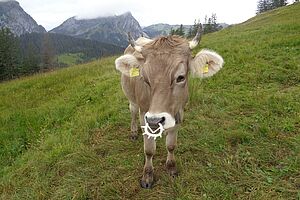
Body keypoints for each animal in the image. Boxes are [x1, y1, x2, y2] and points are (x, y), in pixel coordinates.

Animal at [115, 25, 223, 189]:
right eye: (144, 78)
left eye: (180, 77)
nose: (155, 120)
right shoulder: (145, 116)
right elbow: (149, 150)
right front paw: (147, 176)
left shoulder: (179, 113)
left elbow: (171, 145)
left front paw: (171, 168)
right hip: (132, 100)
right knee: (132, 111)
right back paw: (133, 132)